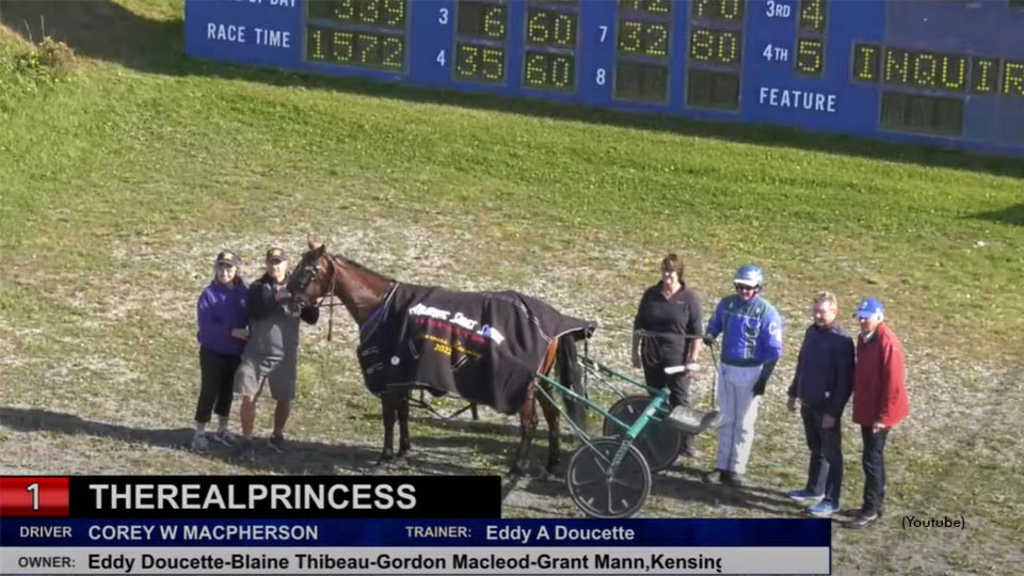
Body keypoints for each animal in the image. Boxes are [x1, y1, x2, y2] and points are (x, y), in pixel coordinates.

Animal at [288, 235, 593, 473]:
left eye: (309, 271)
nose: (292, 303)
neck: (382, 306)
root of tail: (551, 324)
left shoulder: (389, 378)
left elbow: (389, 417)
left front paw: (386, 457)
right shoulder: (403, 376)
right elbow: (403, 413)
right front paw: (402, 452)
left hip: (524, 388)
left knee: (530, 424)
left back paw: (518, 466)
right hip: (540, 383)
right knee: (552, 415)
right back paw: (552, 462)